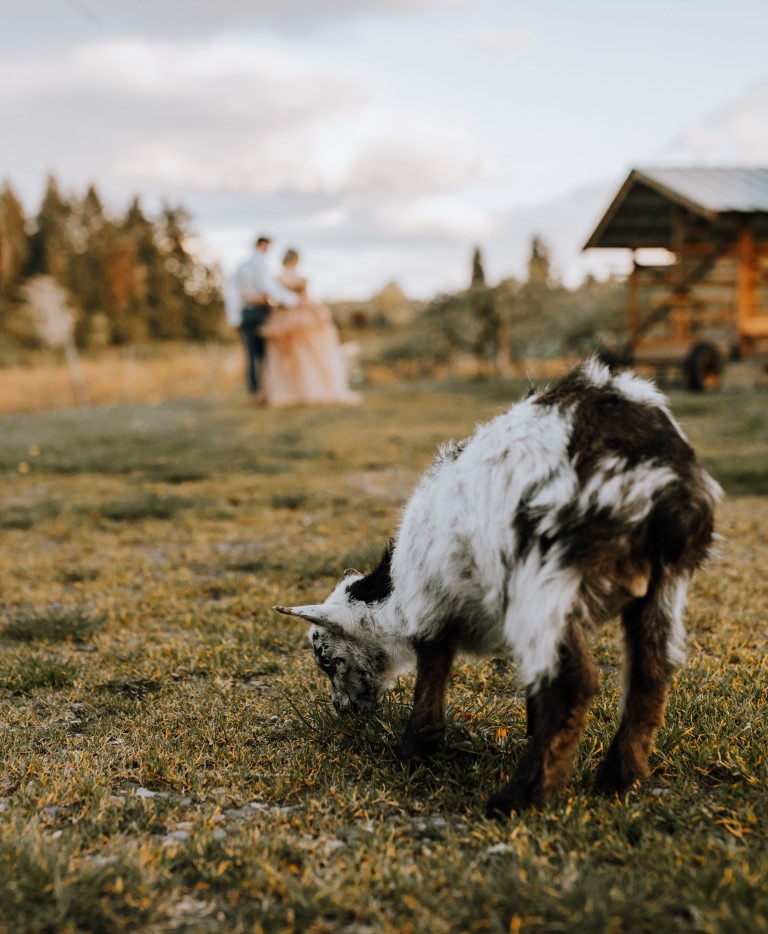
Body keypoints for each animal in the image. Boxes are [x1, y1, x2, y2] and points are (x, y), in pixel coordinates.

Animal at [274, 362, 720, 816]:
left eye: (329, 660)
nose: (341, 711)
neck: (392, 597)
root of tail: (663, 482)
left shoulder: (431, 607)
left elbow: (431, 675)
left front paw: (415, 751)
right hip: (662, 587)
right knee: (651, 674)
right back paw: (618, 779)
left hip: (545, 577)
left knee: (571, 685)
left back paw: (518, 799)